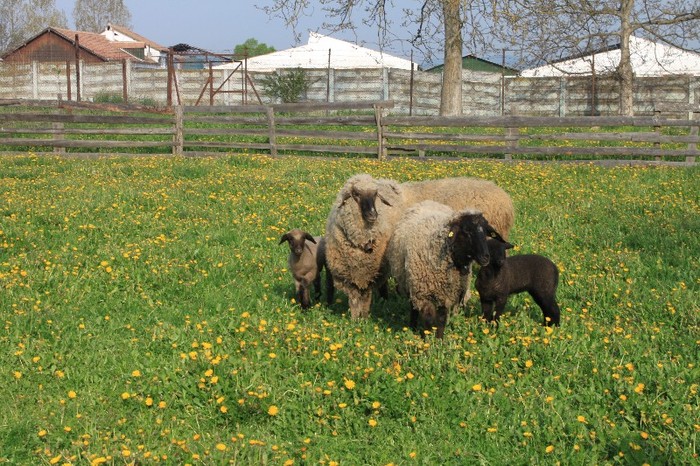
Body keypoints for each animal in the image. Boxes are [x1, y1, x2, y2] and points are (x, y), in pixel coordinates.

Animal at [388, 200, 498, 338]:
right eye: (467, 231)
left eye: (485, 232)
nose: (486, 257)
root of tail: (426, 201)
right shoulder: (423, 293)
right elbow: (428, 318)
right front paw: (427, 338)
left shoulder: (446, 295)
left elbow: (441, 319)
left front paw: (439, 340)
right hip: (409, 282)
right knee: (413, 307)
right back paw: (413, 326)